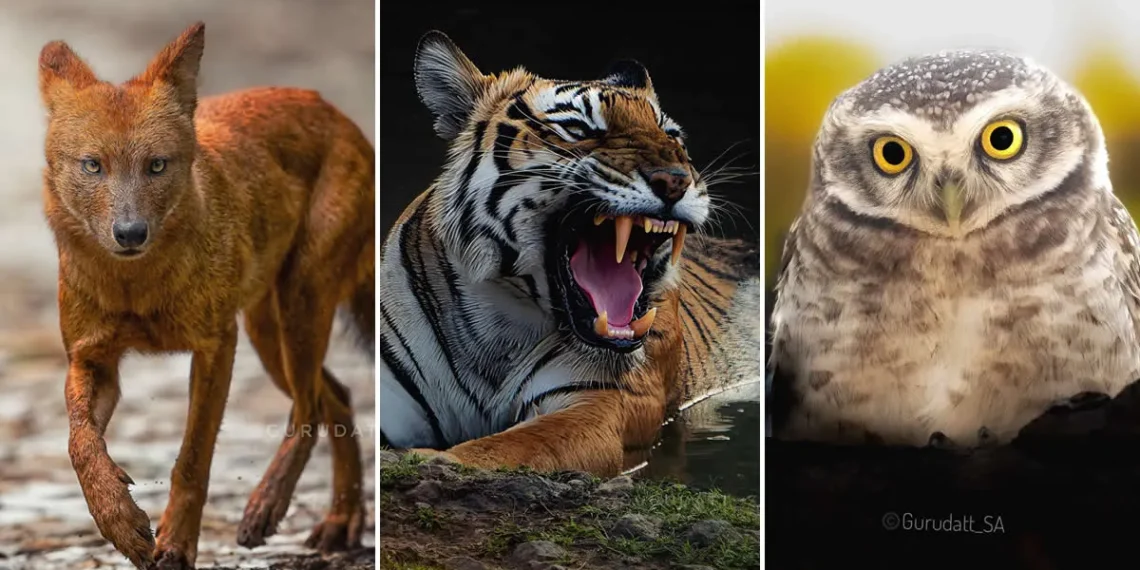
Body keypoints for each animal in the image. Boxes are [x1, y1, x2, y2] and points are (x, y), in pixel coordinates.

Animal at [379, 30, 763, 476]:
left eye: (672, 136)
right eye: (579, 129)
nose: (676, 180)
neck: (496, 328)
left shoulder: (601, 403)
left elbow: (501, 449)